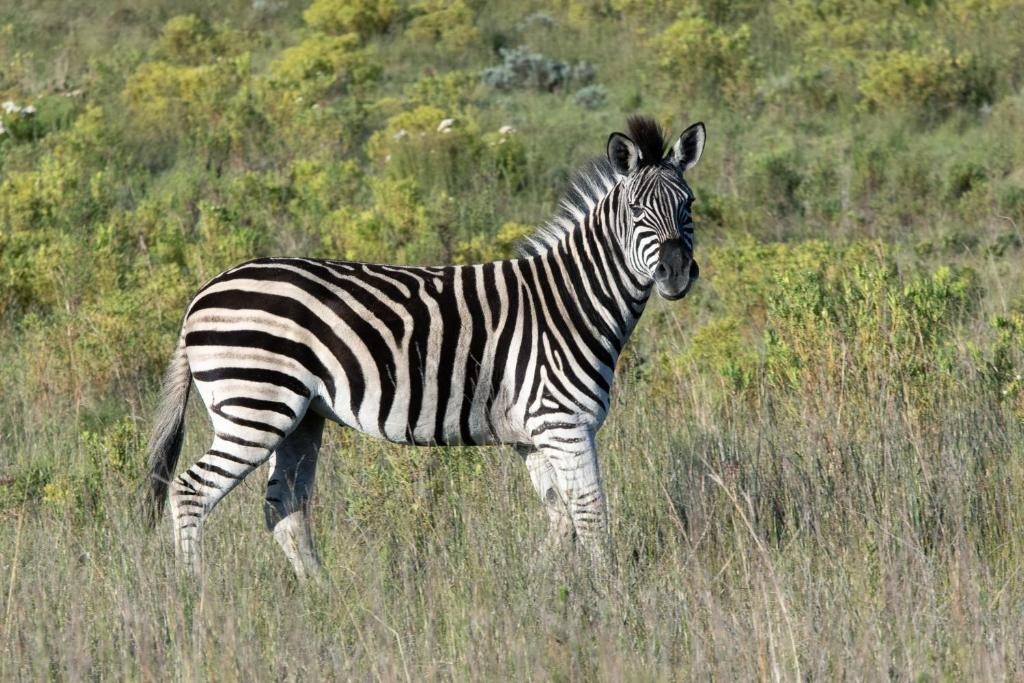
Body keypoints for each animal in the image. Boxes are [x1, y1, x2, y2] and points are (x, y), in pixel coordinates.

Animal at [146, 116, 704, 577]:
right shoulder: (564, 425)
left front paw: (538, 585)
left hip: (300, 417)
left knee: (283, 506)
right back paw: (195, 595)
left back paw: (323, 597)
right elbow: (591, 516)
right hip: (256, 406)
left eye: (689, 206)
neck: (571, 300)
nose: (676, 273)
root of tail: (201, 293)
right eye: (636, 210)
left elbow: (561, 519)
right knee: (192, 491)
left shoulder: (534, 436)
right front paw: (609, 595)